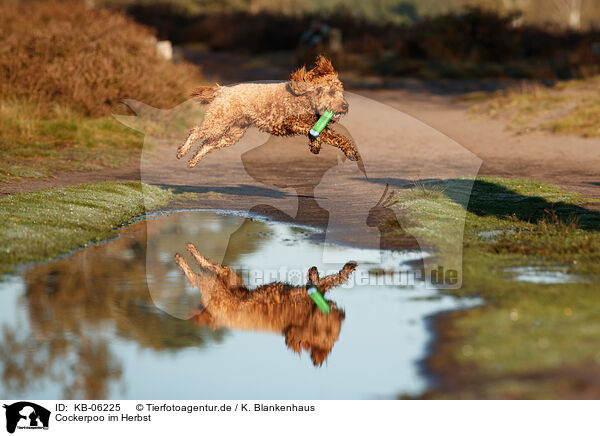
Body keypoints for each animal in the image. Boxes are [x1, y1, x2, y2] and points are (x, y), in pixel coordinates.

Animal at [176, 55, 358, 168]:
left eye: (342, 92)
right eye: (331, 92)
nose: (345, 106)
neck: (305, 98)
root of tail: (222, 90)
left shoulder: (311, 124)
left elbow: (326, 135)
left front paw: (318, 146)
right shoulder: (296, 121)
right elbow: (330, 135)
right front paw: (344, 149)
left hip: (233, 132)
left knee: (208, 144)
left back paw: (193, 161)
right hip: (219, 121)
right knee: (196, 132)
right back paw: (181, 152)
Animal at [176, 244, 358, 366]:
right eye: (328, 330)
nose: (342, 316)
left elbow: (328, 280)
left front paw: (341, 270)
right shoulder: (302, 299)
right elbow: (324, 282)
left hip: (229, 279)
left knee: (212, 267)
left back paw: (189, 253)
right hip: (217, 291)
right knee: (198, 277)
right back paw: (184, 258)